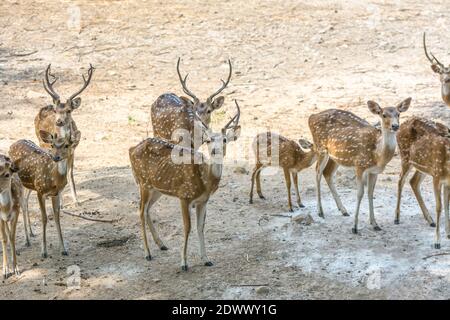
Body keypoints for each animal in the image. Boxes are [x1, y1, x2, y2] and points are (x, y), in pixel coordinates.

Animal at [9, 130, 74, 258]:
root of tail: (13, 143)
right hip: (17, 183)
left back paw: (30, 234)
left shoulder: (55, 194)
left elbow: (57, 218)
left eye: (66, 145)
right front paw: (44, 251)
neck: (54, 179)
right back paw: (26, 241)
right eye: (52, 145)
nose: (56, 157)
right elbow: (44, 218)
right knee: (20, 205)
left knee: (25, 203)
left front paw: (63, 249)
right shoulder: (40, 191)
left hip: (28, 185)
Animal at [130, 100, 241, 270]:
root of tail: (131, 149)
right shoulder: (184, 196)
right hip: (144, 183)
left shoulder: (203, 201)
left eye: (224, 140)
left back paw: (161, 244)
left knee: (147, 209)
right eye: (208, 140)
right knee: (141, 211)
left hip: (157, 188)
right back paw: (148, 253)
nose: (215, 150)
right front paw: (184, 263)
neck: (205, 182)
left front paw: (206, 259)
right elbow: (187, 227)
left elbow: (200, 227)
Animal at [310, 97, 412, 232]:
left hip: (336, 156)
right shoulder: (359, 165)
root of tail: (311, 117)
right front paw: (354, 227)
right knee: (317, 172)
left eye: (398, 114)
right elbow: (359, 194)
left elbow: (370, 193)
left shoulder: (374, 171)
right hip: (321, 147)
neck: (377, 155)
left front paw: (375, 224)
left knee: (327, 173)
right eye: (383, 115)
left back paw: (343, 210)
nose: (395, 126)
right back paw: (320, 211)